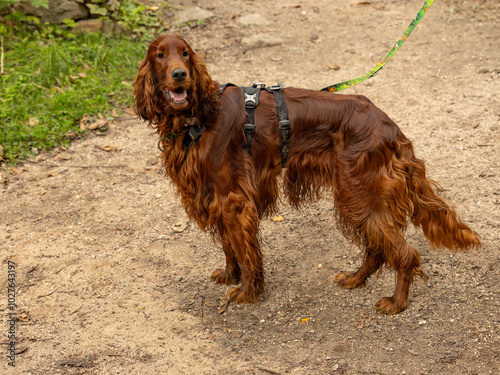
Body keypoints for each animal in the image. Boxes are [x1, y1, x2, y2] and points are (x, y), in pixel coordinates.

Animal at [133, 35, 480, 314]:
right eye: (160, 55)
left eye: (186, 54)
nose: (180, 74)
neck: (198, 117)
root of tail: (389, 126)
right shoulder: (212, 196)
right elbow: (229, 245)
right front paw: (231, 275)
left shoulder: (233, 199)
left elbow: (243, 249)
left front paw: (247, 291)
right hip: (356, 194)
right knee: (377, 247)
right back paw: (355, 279)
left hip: (359, 192)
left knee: (401, 252)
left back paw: (396, 302)